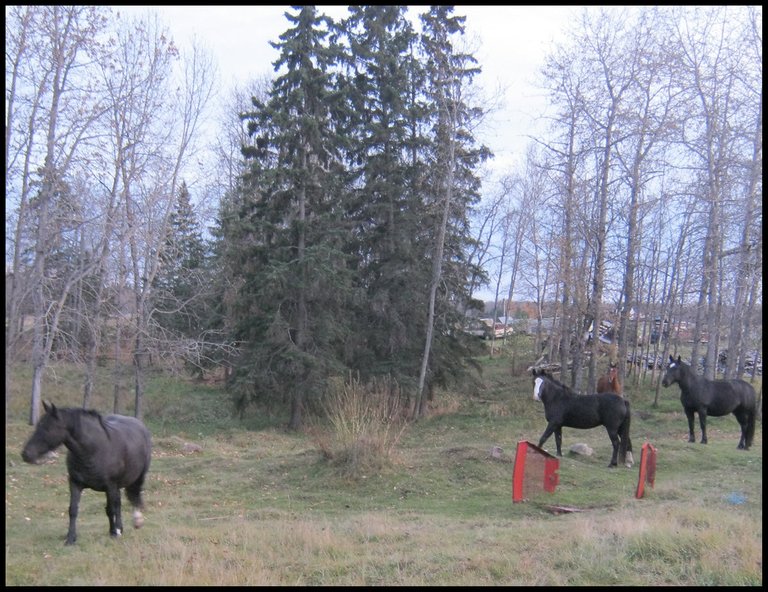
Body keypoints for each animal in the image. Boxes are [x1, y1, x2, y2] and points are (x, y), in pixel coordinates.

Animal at [21, 402, 152, 544]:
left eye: (47, 428)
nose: (26, 454)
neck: (93, 450)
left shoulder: (110, 486)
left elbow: (111, 509)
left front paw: (114, 533)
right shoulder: (75, 483)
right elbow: (73, 510)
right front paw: (70, 538)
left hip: (136, 478)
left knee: (134, 496)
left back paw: (134, 522)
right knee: (119, 503)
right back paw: (119, 528)